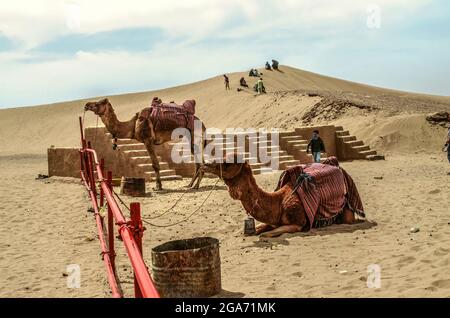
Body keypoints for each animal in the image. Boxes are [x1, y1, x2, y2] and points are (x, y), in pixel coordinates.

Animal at [202, 153, 364, 237]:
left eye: (228, 163)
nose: (205, 164)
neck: (278, 202)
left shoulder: (297, 223)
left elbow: (266, 234)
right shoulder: (272, 220)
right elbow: (257, 229)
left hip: (346, 209)